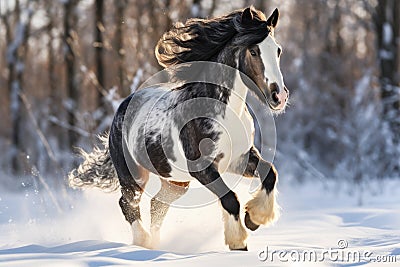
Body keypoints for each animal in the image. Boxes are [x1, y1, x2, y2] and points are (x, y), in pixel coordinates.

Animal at [69, 6, 288, 253]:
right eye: (253, 51)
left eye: (277, 50)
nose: (279, 97)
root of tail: (122, 106)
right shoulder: (203, 168)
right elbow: (230, 198)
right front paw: (238, 242)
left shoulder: (237, 159)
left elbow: (270, 173)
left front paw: (254, 219)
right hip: (134, 175)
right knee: (128, 202)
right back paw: (142, 242)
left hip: (176, 182)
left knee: (157, 203)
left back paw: (155, 243)